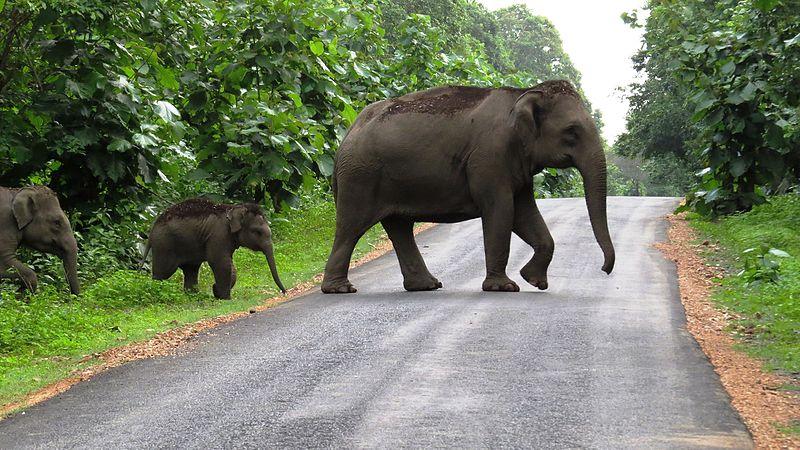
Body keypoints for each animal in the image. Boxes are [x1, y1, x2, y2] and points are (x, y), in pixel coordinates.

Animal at [142, 198, 286, 299]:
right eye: (257, 232)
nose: (284, 292)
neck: (232, 208)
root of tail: (152, 229)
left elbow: (229, 264)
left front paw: (217, 291)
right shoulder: (218, 235)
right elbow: (220, 262)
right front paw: (225, 297)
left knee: (191, 270)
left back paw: (194, 295)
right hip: (164, 245)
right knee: (162, 272)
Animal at [321, 80, 615, 294]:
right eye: (572, 131)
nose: (604, 270)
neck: (524, 93)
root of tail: (349, 131)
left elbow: (525, 213)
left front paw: (534, 281)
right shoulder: (489, 157)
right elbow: (501, 210)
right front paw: (504, 287)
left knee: (399, 228)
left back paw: (427, 286)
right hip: (360, 176)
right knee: (351, 227)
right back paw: (340, 289)